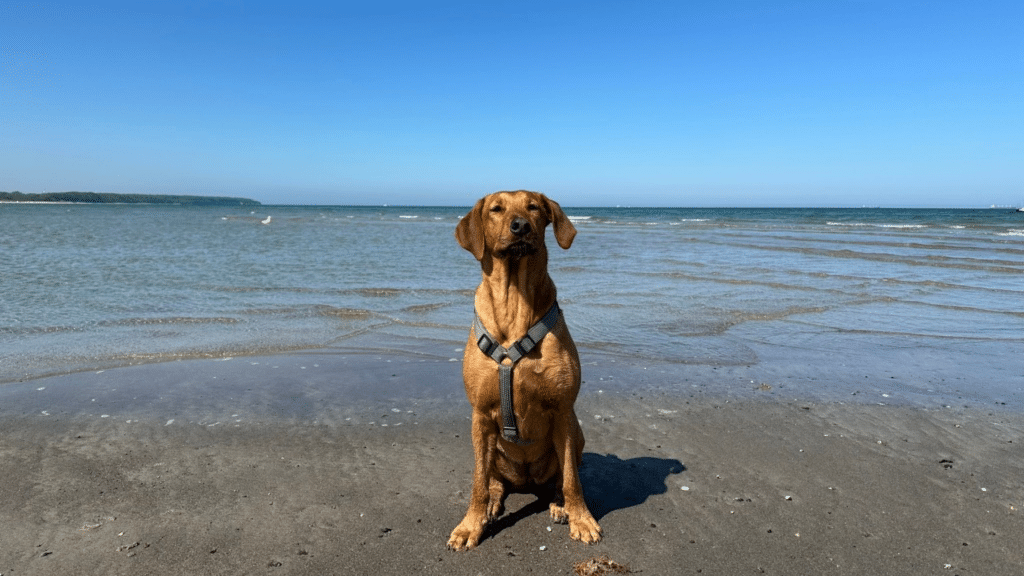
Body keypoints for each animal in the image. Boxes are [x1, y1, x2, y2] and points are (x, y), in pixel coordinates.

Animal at [446, 188, 598, 545]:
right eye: (496, 209)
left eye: (534, 207)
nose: (520, 226)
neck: (514, 301)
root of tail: (527, 481)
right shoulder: (480, 415)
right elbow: (477, 482)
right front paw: (471, 524)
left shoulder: (562, 411)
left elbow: (572, 479)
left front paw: (581, 518)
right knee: (492, 480)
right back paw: (492, 503)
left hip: (577, 435)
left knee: (560, 478)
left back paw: (559, 504)